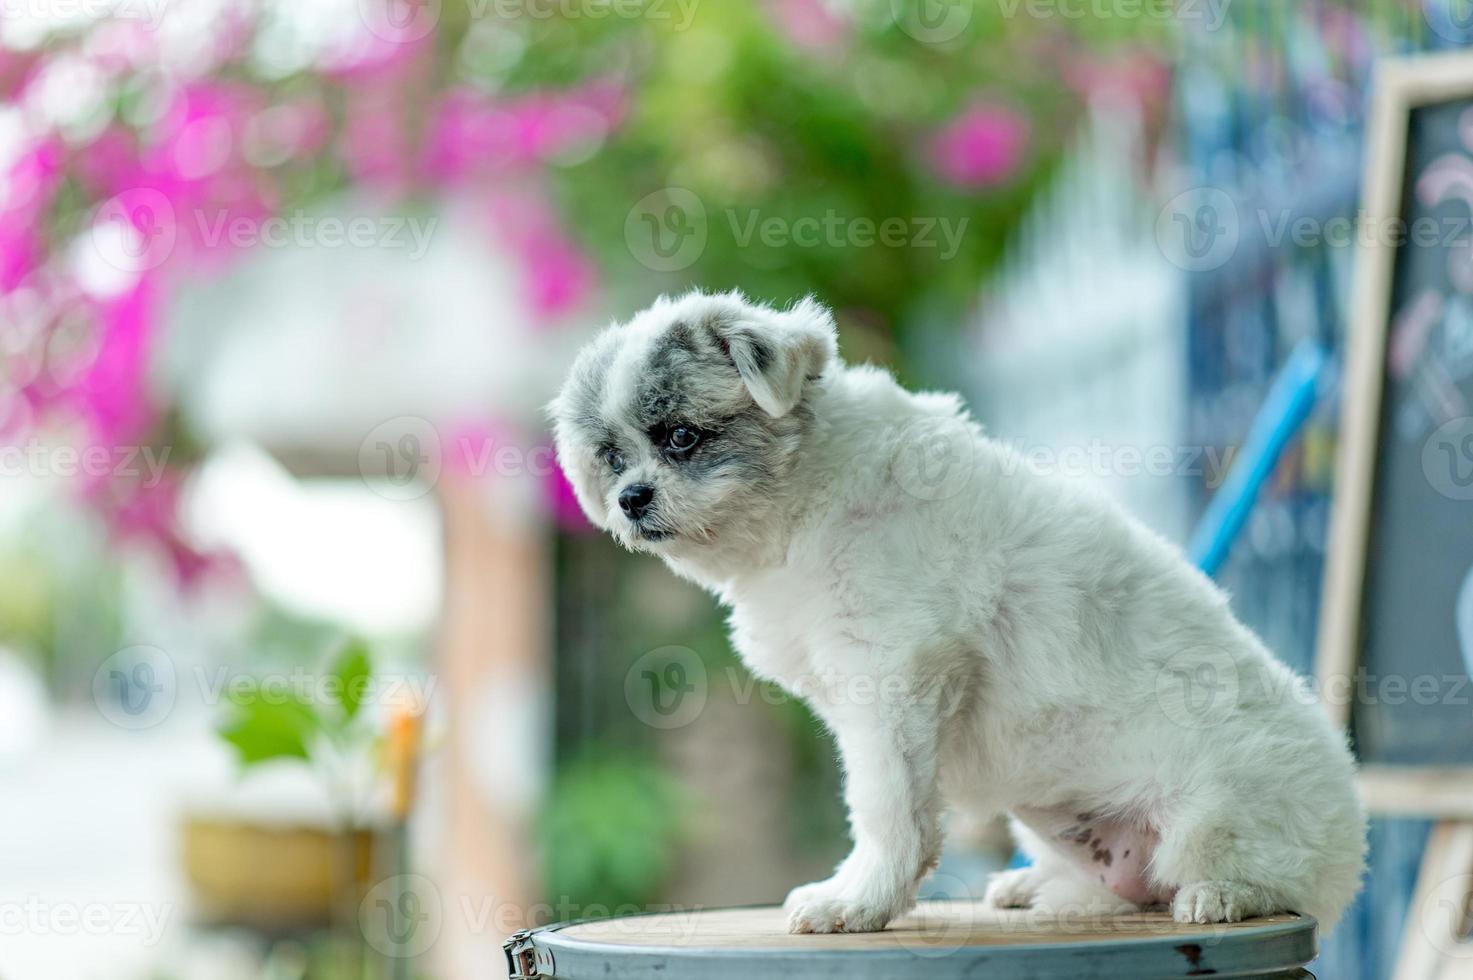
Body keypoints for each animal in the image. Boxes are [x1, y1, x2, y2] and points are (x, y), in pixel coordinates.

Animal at [553, 288, 1366, 931]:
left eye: (680, 437)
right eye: (610, 458)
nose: (631, 499)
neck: (811, 498)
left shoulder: (893, 682)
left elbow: (886, 811)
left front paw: (860, 900)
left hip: (1218, 817)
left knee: (1263, 886)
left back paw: (1224, 894)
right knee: (1123, 891)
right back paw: (1037, 887)